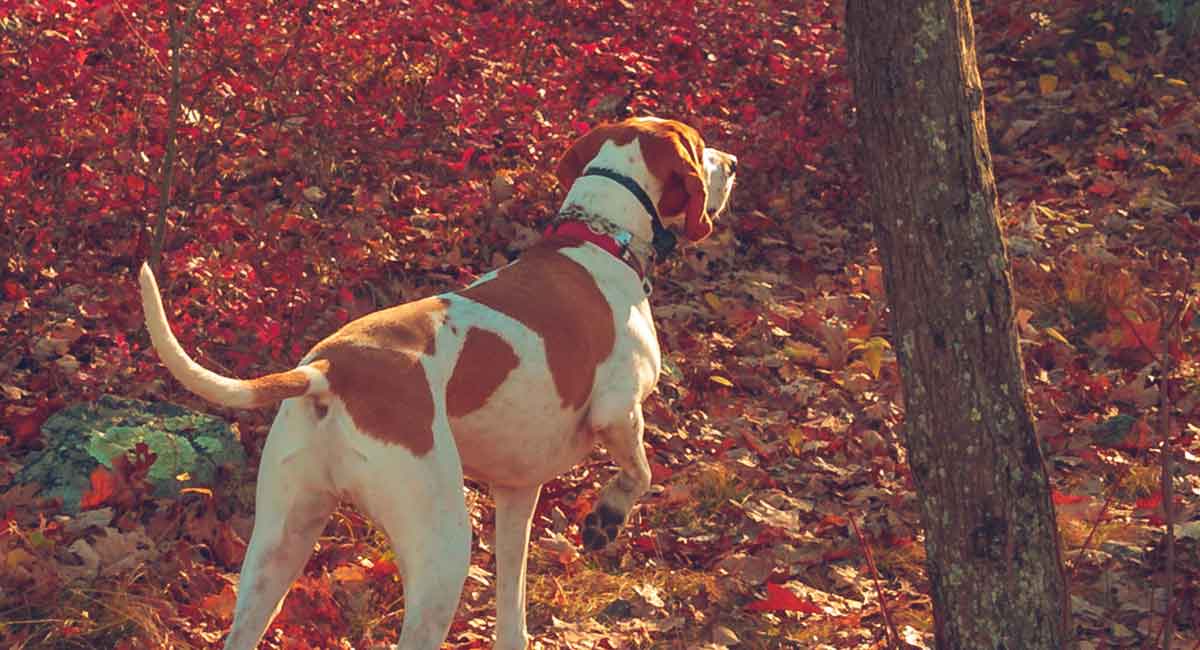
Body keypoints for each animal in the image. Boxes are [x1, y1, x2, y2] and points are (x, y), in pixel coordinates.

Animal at [141, 118, 739, 650]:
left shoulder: (517, 492)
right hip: (443, 546)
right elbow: (640, 473)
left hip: (278, 546)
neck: (596, 238)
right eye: (700, 146)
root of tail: (329, 370)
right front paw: (606, 519)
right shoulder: (619, 411)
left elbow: (511, 608)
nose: (732, 162)